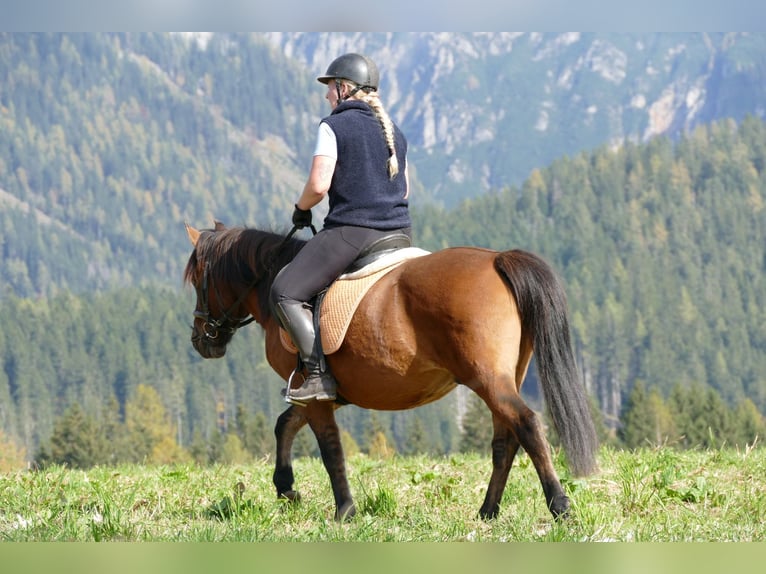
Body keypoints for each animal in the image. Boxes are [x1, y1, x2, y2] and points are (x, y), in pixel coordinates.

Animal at [184, 223, 600, 524]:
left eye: (197, 280)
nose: (201, 339)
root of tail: (497, 259)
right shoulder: (320, 393)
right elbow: (284, 424)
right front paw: (286, 487)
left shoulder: (314, 393)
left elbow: (329, 447)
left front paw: (344, 511)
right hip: (501, 379)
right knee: (506, 440)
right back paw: (488, 511)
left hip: (488, 380)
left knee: (526, 424)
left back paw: (559, 505)